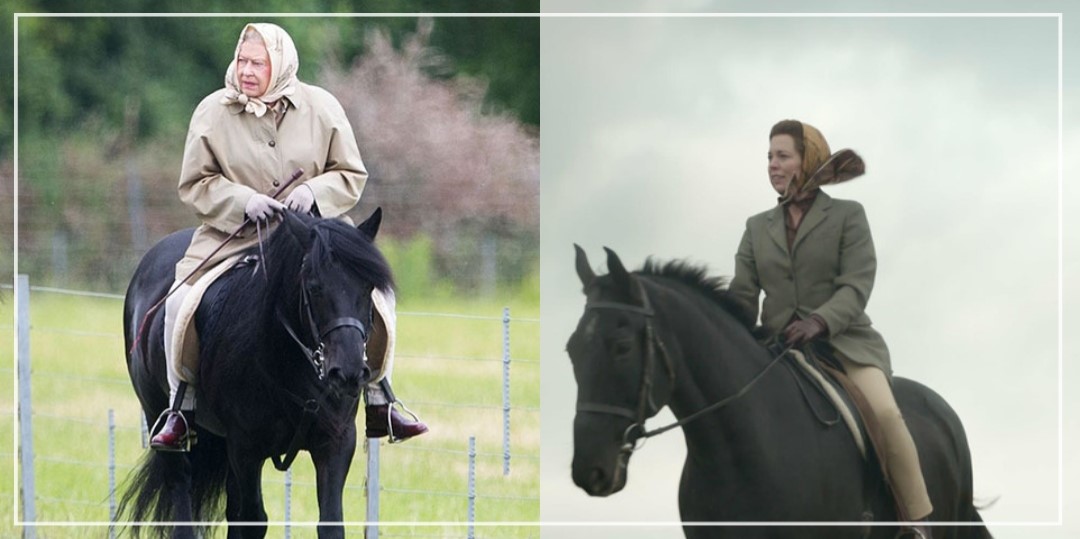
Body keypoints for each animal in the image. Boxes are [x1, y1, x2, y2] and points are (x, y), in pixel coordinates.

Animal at [120, 210, 390, 539]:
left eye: (368, 287)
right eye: (314, 287)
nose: (348, 371)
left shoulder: (336, 441)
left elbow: (329, 522)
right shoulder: (246, 448)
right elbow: (252, 519)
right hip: (159, 417)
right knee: (181, 492)